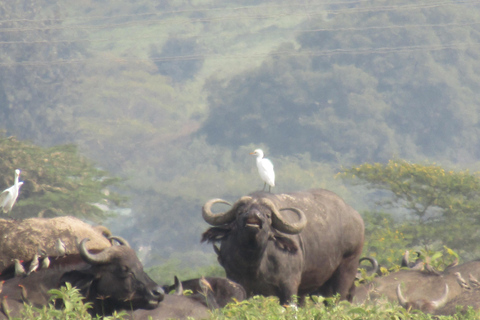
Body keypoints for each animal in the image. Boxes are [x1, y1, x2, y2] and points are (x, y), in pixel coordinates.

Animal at [200, 190, 364, 304]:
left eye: (267, 215)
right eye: (241, 212)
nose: (253, 215)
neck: (254, 263)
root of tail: (356, 217)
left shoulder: (289, 286)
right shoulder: (237, 282)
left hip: (347, 269)